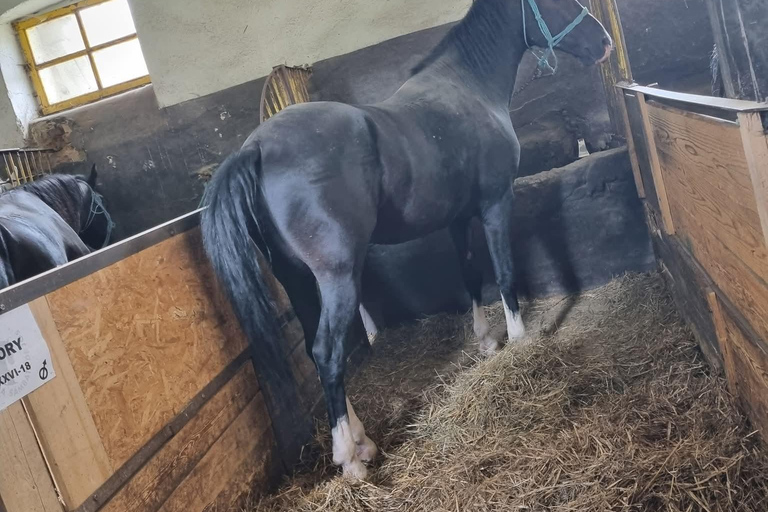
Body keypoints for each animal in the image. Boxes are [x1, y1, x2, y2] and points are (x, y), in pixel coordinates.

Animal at [202, 0, 612, 480]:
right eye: (558, 2)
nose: (604, 43)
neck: (468, 88)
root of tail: (257, 149)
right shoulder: (496, 205)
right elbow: (505, 272)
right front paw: (519, 341)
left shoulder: (459, 219)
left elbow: (470, 274)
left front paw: (486, 340)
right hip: (338, 277)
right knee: (327, 353)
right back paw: (351, 460)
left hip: (298, 280)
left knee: (317, 354)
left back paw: (361, 439)